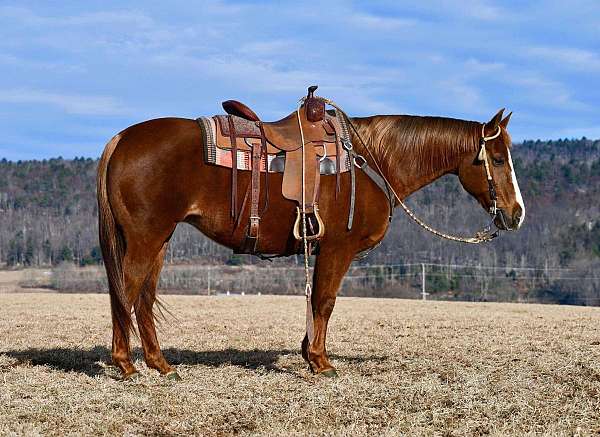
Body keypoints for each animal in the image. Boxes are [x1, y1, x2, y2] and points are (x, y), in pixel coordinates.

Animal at [96, 102, 524, 378]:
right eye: (497, 159)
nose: (517, 214)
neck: (371, 161)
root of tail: (120, 138)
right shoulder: (338, 248)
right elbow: (325, 300)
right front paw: (320, 360)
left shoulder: (320, 249)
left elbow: (317, 299)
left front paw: (308, 353)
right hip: (146, 238)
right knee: (126, 290)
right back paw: (126, 364)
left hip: (159, 239)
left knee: (144, 295)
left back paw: (160, 364)